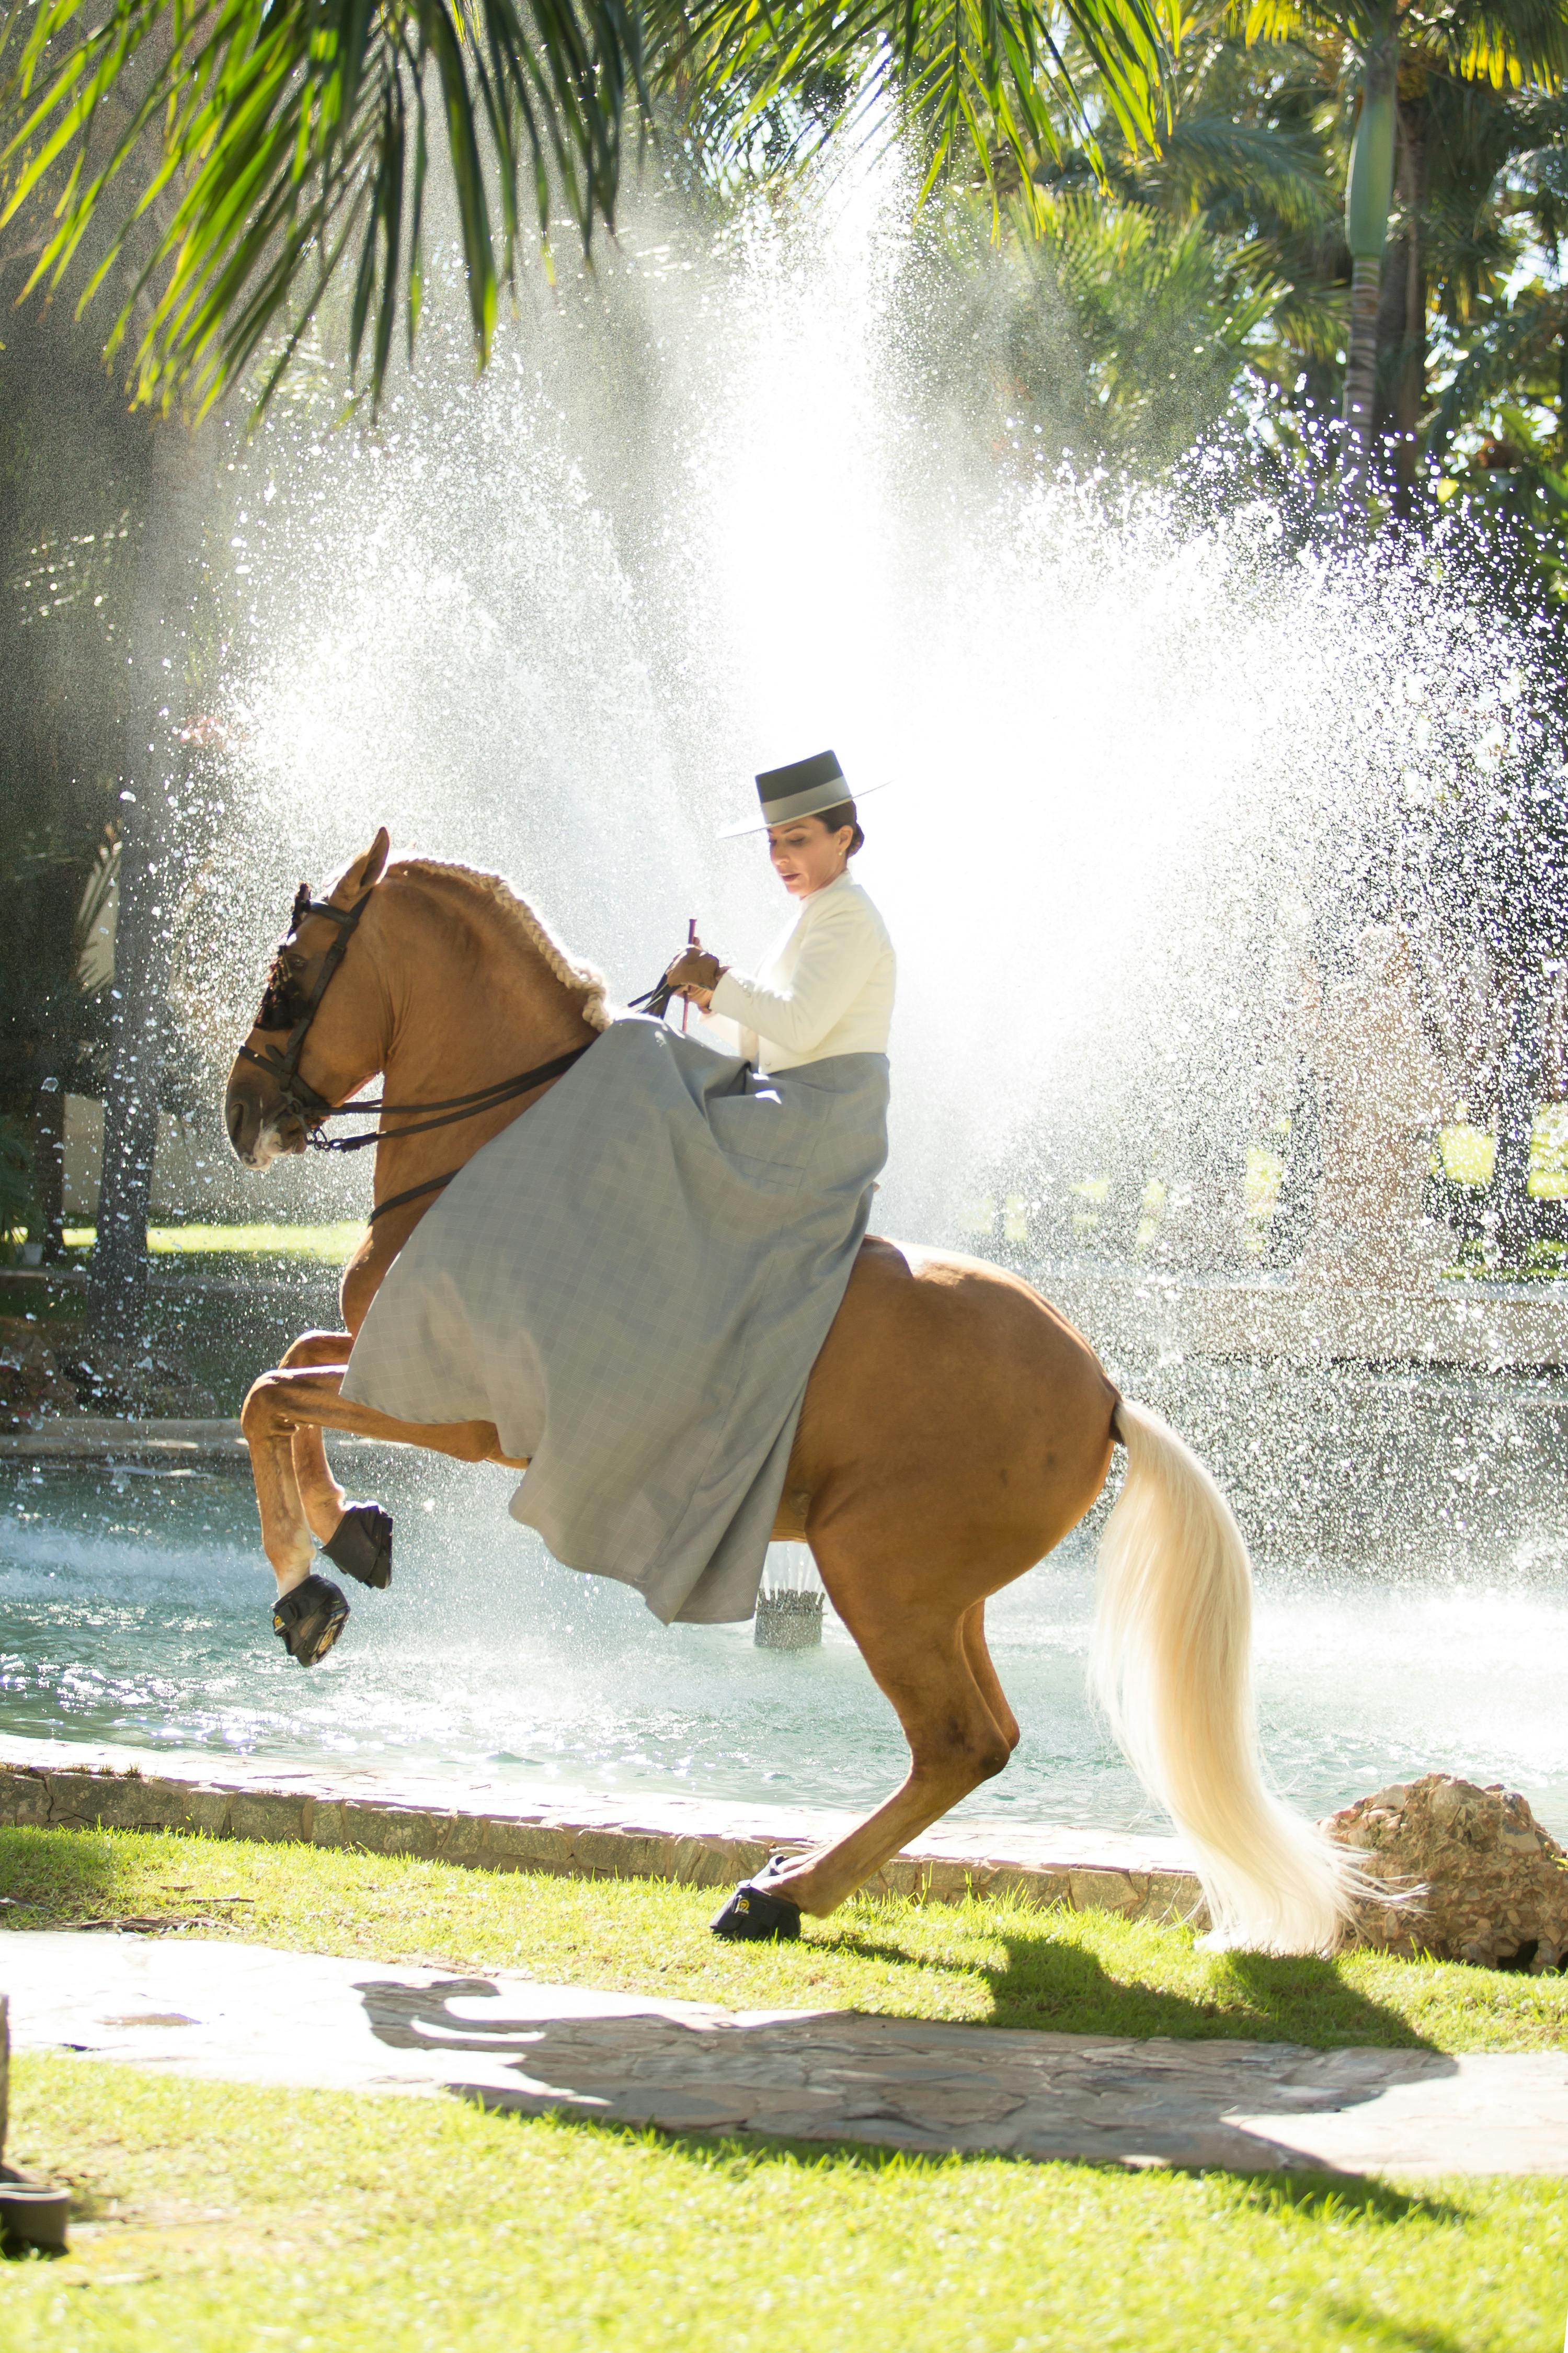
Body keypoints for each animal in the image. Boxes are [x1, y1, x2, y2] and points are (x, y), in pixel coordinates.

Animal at [225, 829, 1358, 1955]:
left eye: (287, 978)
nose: (239, 1116)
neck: (502, 1148)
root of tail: (1106, 1390)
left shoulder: (457, 1414)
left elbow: (268, 1392)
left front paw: (304, 1593)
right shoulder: (383, 1356)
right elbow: (289, 1360)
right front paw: (353, 1528)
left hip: (872, 1571)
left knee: (954, 1739)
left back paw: (779, 1893)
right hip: (942, 1595)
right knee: (987, 1735)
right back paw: (791, 1876)